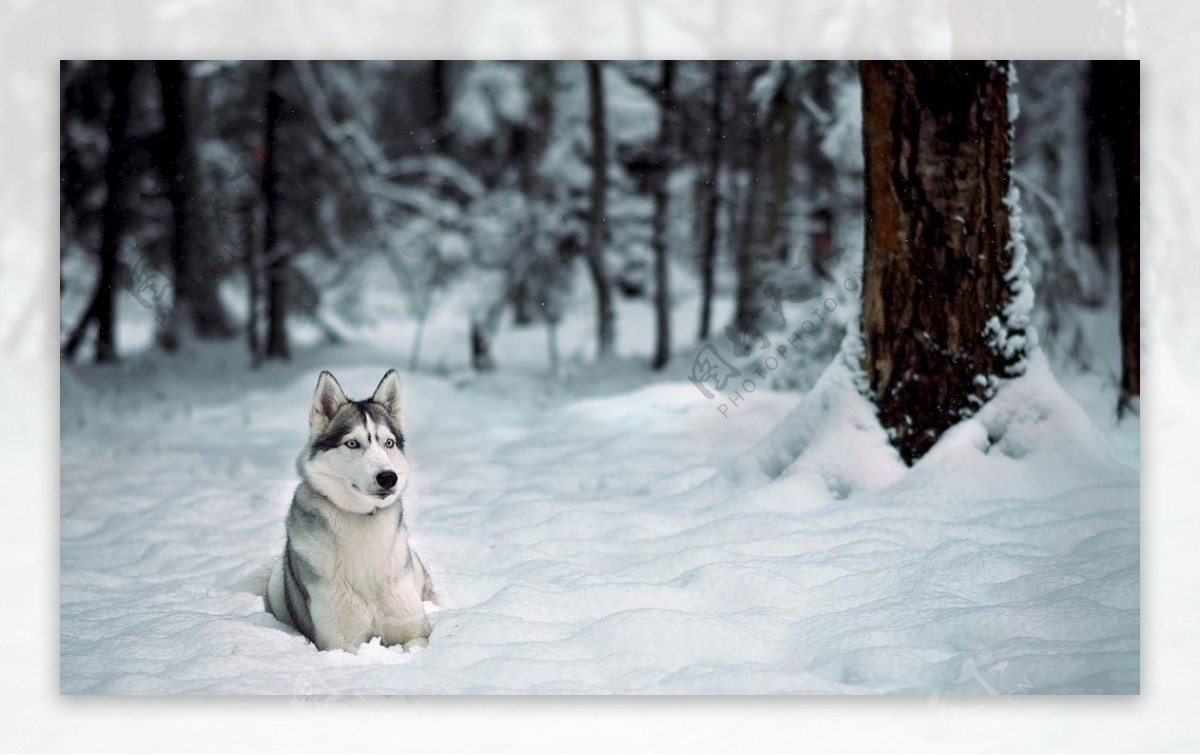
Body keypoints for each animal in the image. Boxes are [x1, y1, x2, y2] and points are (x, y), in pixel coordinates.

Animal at [266, 369, 436, 648]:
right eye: (353, 444)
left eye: (389, 443)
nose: (388, 477)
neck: (362, 519)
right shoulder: (340, 644)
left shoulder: (415, 632)